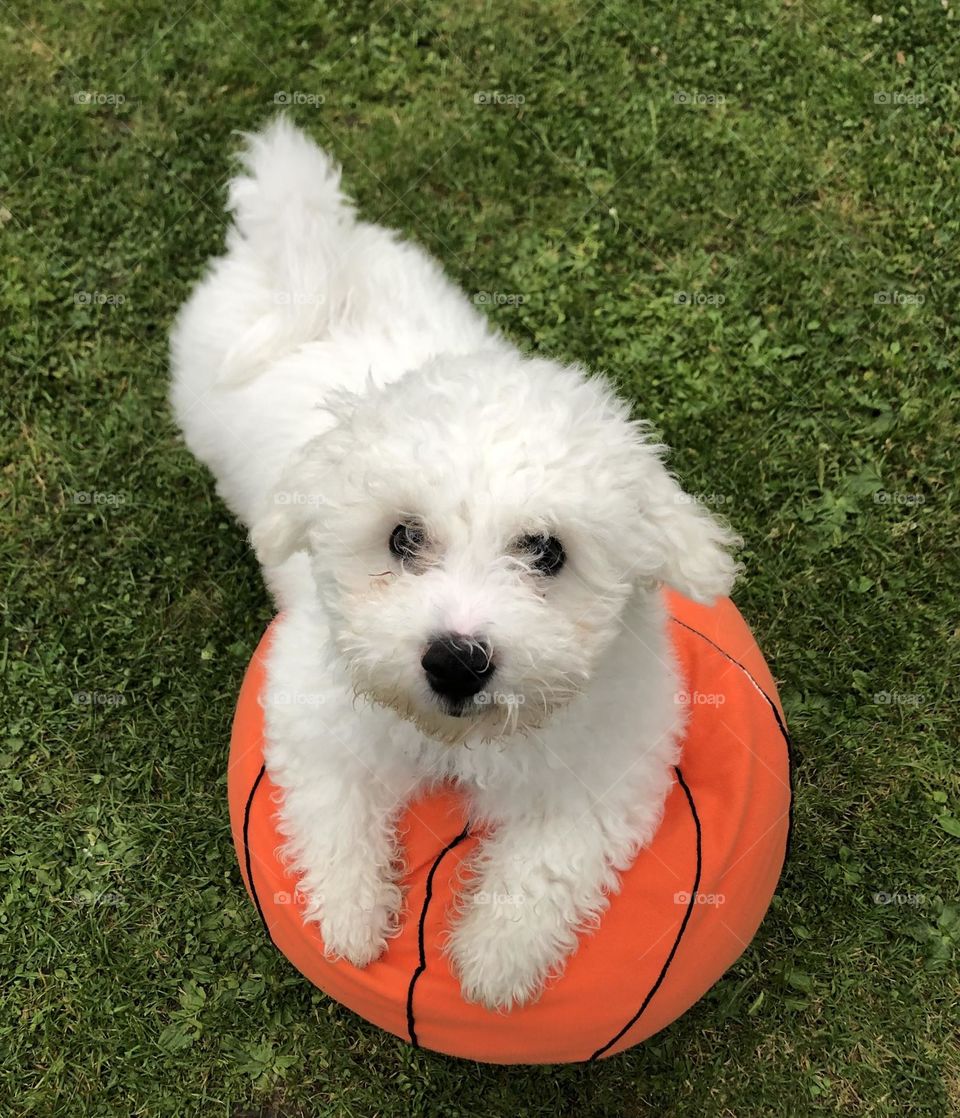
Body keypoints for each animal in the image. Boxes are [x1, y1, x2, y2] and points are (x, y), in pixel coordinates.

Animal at [168, 117, 737, 1010]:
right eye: (403, 538)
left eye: (546, 551)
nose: (456, 661)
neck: (456, 738)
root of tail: (298, 246)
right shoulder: (315, 709)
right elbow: (332, 806)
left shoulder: (610, 758)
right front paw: (351, 915)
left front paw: (496, 960)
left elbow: (551, 861)